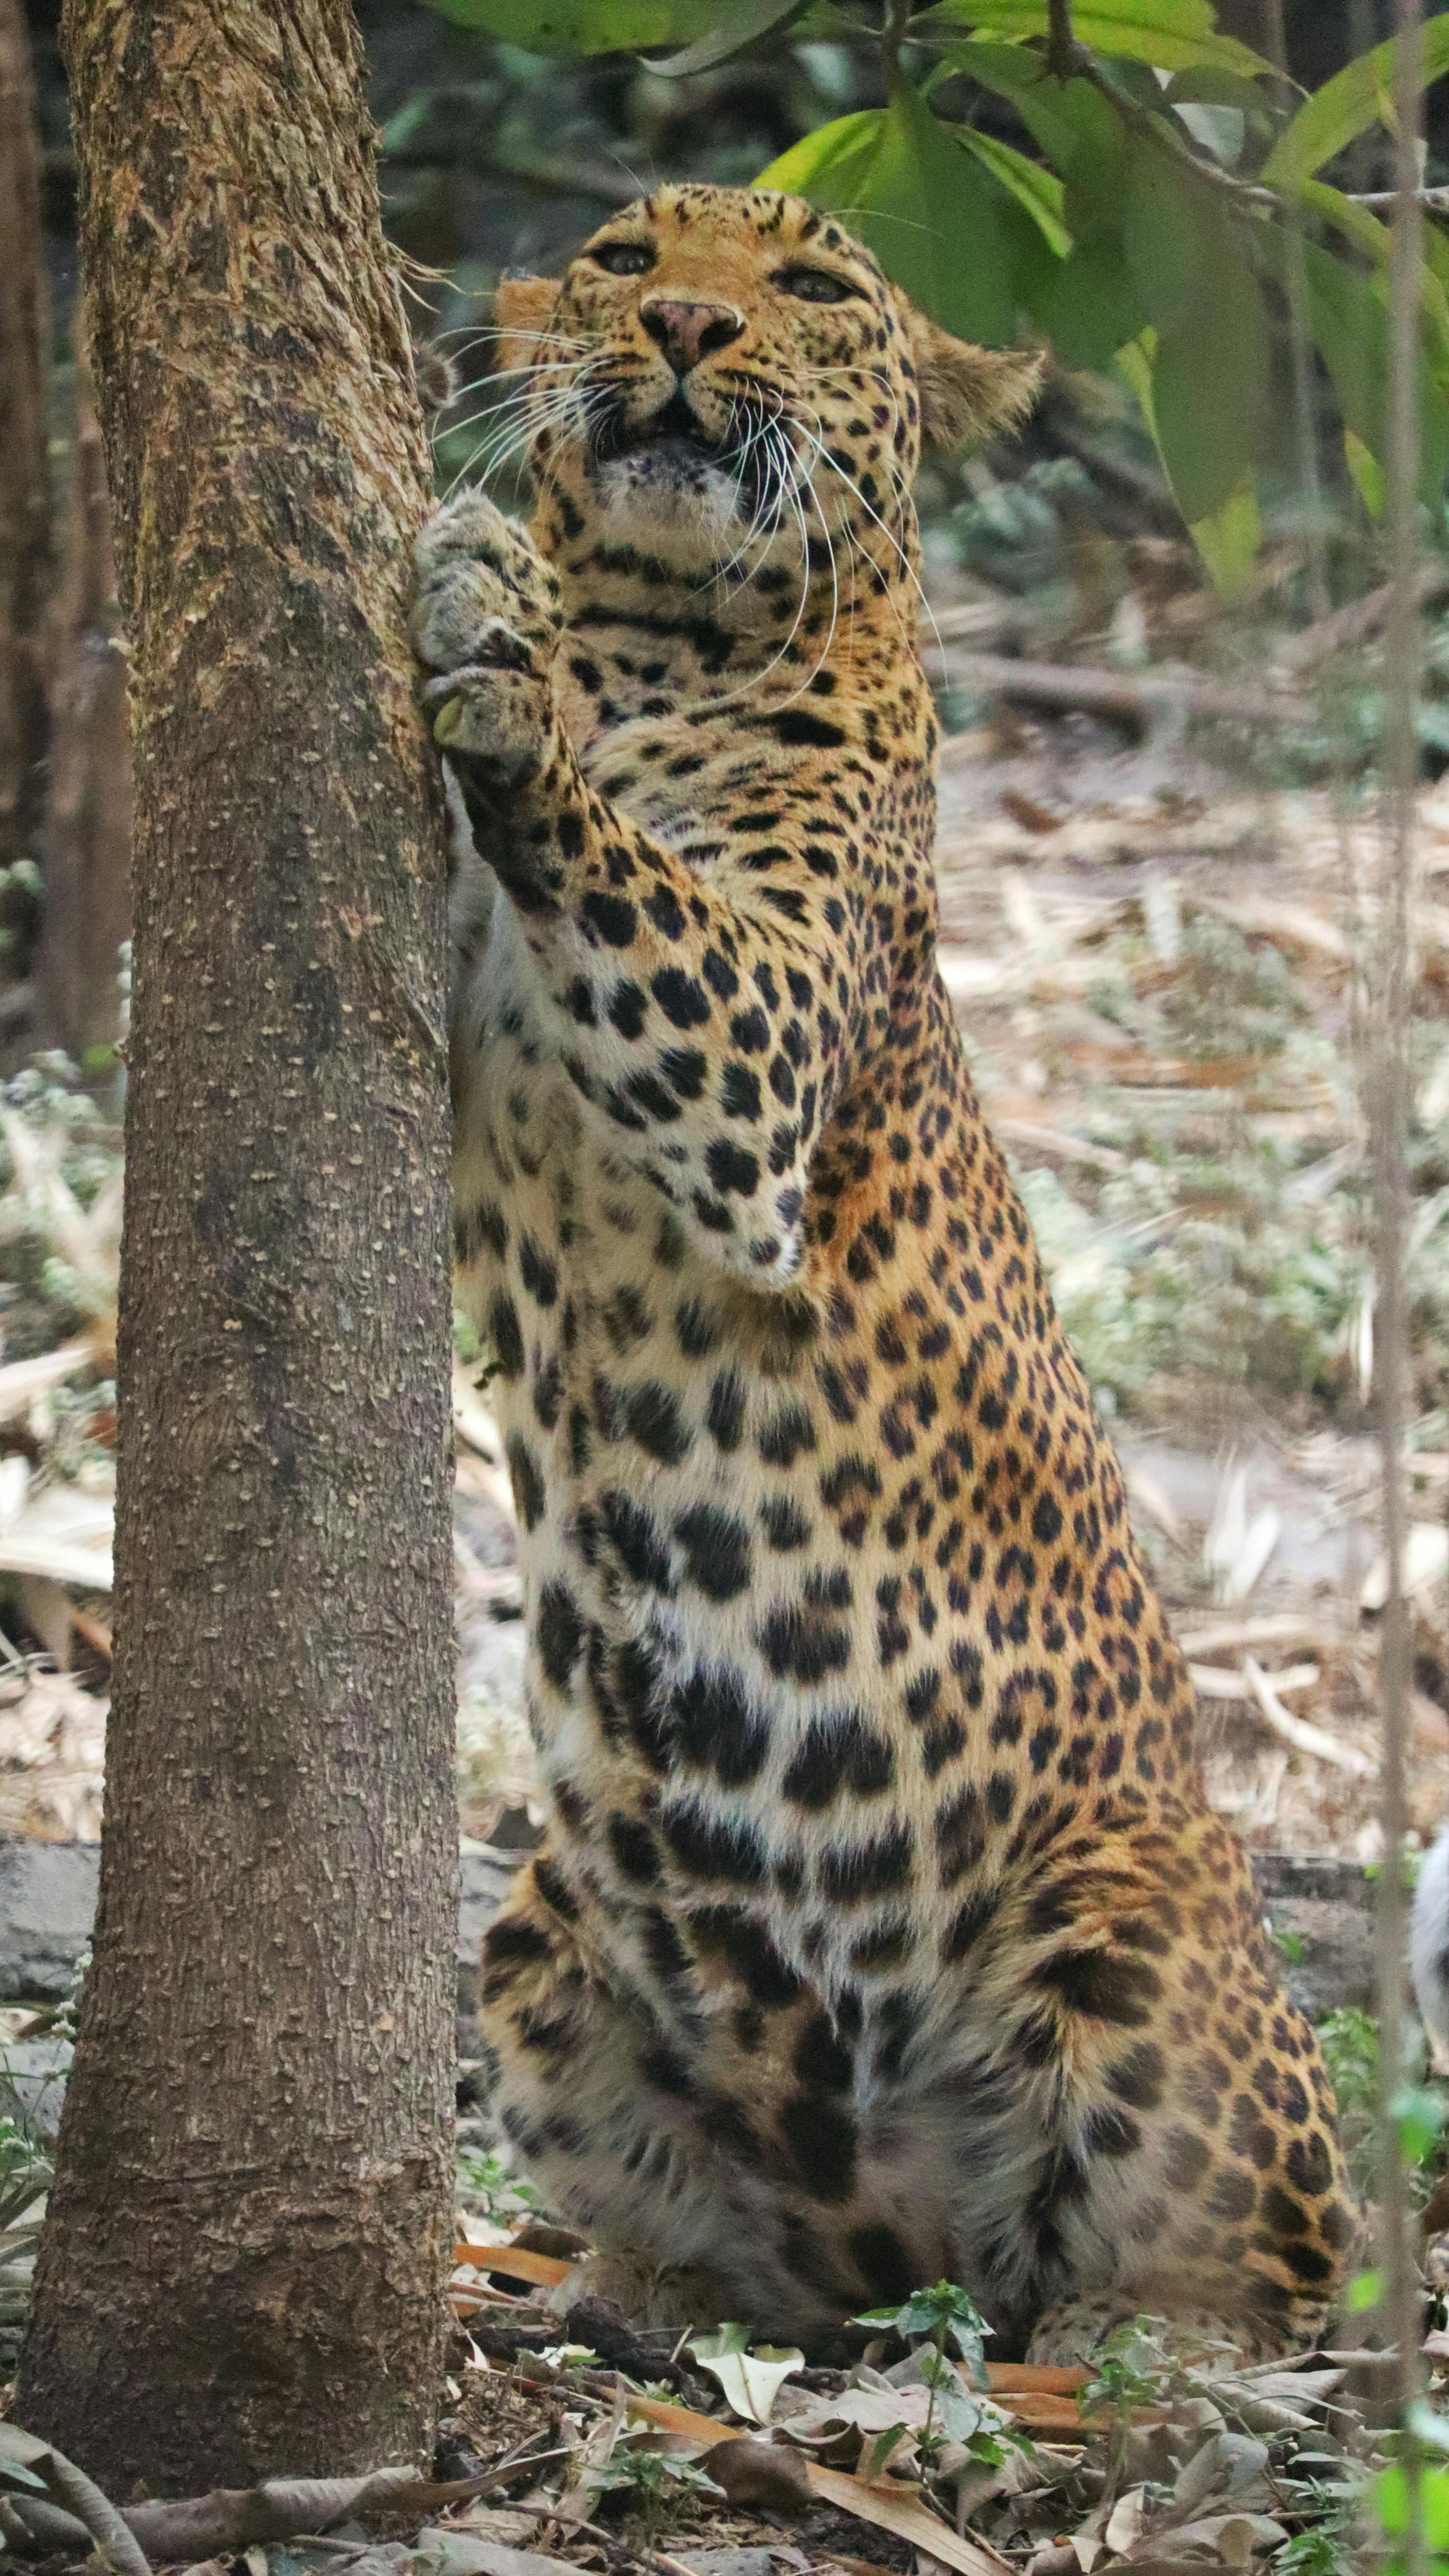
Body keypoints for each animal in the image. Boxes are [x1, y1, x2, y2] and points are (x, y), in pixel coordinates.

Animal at [411, 180, 1357, 2362]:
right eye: (619, 256)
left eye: (811, 287)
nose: (680, 327)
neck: (656, 642)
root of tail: (906, 2231)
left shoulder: (759, 1057)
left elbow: (619, 868)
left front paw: (490, 634)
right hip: (538, 1931)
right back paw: (645, 2300)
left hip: (1127, 1935)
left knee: (1269, 2274)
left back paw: (1134, 2363)